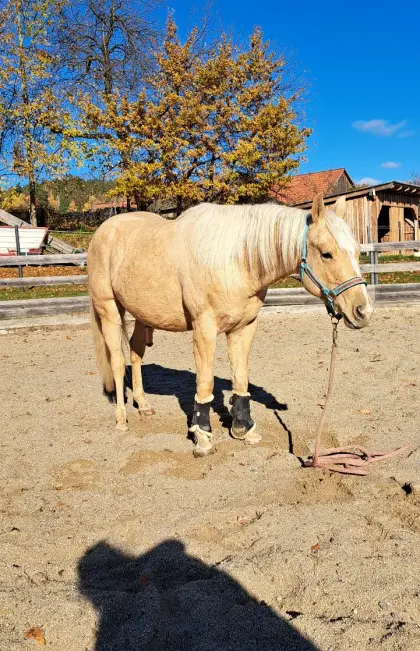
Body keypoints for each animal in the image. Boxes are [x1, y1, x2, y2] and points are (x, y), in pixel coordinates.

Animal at [87, 193, 373, 457]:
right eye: (326, 254)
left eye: (357, 252)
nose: (363, 311)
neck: (234, 260)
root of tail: (102, 232)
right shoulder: (204, 329)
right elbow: (205, 383)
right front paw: (202, 438)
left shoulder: (244, 328)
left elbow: (241, 379)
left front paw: (244, 430)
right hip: (109, 309)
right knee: (117, 361)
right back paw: (122, 418)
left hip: (142, 314)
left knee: (136, 353)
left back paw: (143, 405)